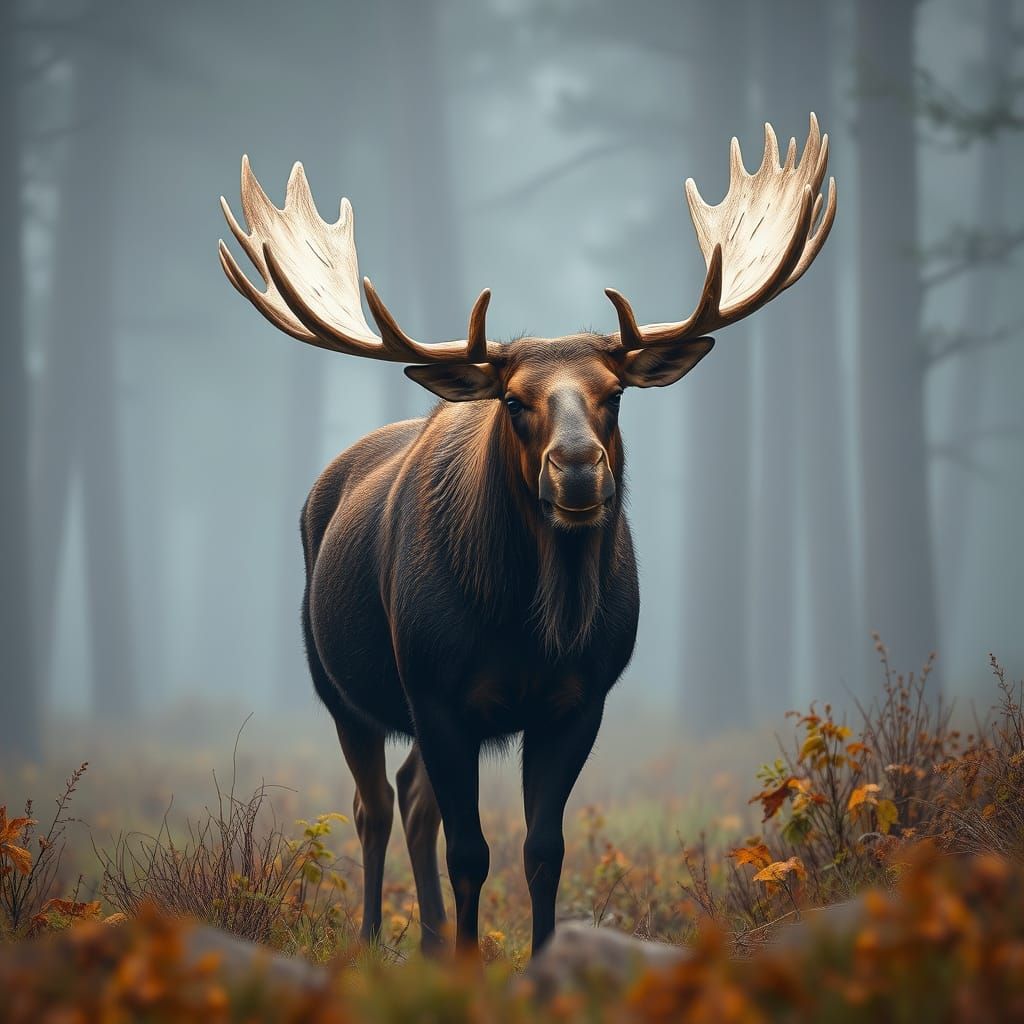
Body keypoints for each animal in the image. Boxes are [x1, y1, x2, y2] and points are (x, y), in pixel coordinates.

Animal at [218, 114, 836, 958]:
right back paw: (376, 937)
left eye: (615, 394)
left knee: (410, 799)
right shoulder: (437, 693)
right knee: (372, 806)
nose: (576, 467)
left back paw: (429, 940)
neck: (531, 627)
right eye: (513, 400)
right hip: (339, 687)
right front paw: (471, 964)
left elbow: (544, 849)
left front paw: (537, 958)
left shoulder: (579, 699)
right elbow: (470, 852)